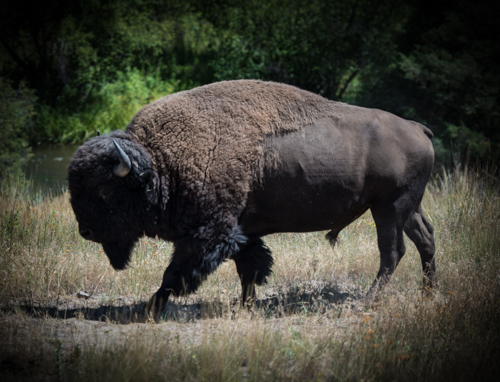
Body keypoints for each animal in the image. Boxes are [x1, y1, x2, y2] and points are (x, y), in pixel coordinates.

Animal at [68, 80, 436, 316]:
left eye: (104, 190)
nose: (85, 231)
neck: (161, 163)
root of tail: (417, 127)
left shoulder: (209, 234)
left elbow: (176, 274)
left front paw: (150, 307)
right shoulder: (241, 232)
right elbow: (250, 268)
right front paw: (245, 305)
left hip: (389, 208)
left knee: (393, 252)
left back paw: (369, 301)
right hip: (407, 208)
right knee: (426, 240)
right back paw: (428, 292)